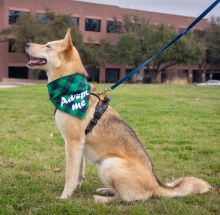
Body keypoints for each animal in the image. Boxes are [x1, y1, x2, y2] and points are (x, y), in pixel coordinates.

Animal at [25, 29, 211, 203]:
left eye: (48, 46)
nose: (26, 44)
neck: (70, 89)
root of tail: (156, 185)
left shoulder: (73, 142)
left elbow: (70, 175)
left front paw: (65, 197)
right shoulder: (80, 146)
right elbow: (78, 173)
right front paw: (74, 191)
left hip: (109, 164)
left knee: (131, 198)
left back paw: (103, 199)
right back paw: (106, 190)